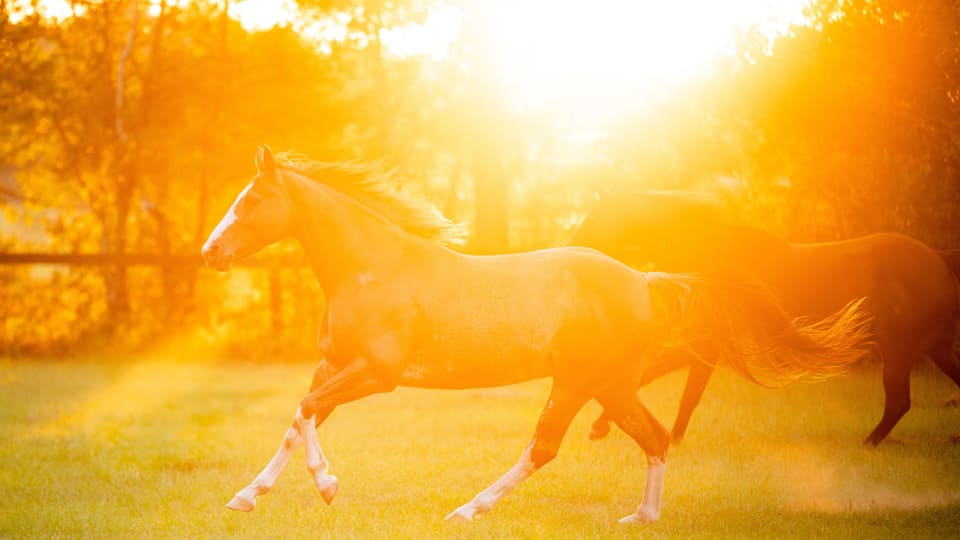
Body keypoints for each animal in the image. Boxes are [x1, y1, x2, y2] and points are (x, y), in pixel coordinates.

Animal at [200, 147, 873, 524]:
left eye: (252, 199)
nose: (210, 253)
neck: (375, 268)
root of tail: (645, 280)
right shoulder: (335, 367)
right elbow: (299, 419)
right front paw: (247, 497)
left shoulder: (376, 375)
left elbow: (305, 409)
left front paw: (328, 486)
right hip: (610, 387)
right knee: (654, 436)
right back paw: (640, 517)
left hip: (578, 383)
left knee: (545, 447)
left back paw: (469, 509)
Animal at [569, 191, 960, 446]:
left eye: (594, 216)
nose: (572, 245)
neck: (709, 257)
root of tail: (937, 258)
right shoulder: (704, 348)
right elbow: (676, 388)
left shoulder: (703, 346)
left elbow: (664, 382)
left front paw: (603, 428)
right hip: (935, 349)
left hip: (898, 352)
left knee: (898, 402)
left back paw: (868, 444)